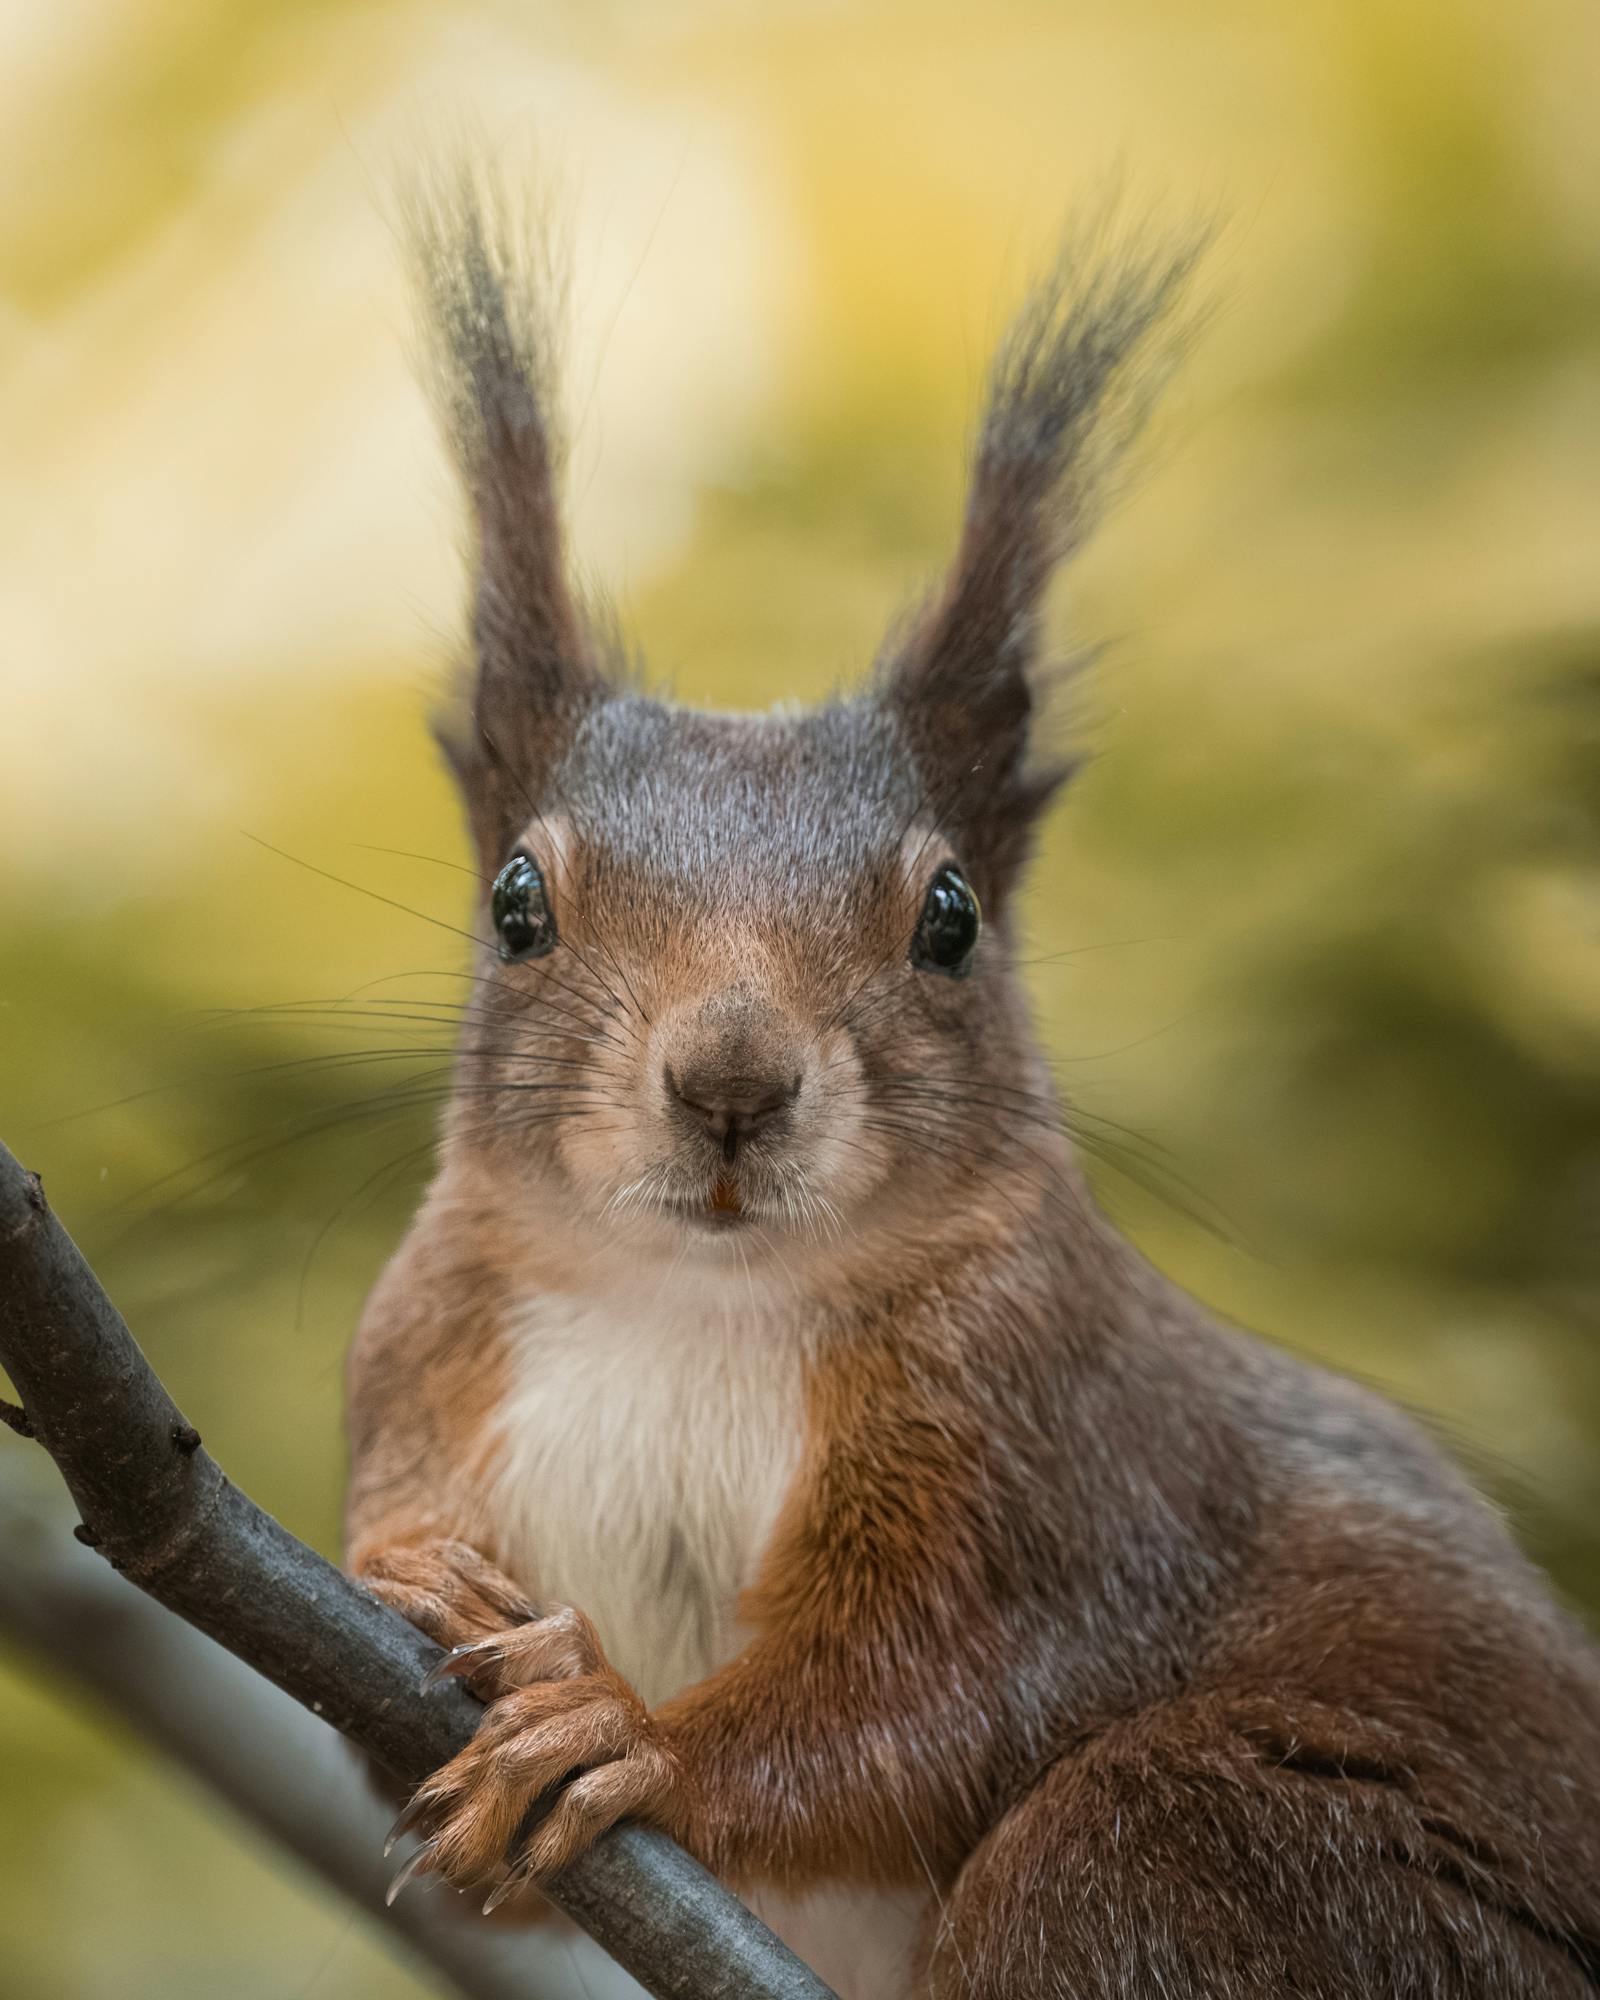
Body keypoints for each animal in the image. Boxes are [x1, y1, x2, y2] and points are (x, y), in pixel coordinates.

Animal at [346, 191, 1600, 2000]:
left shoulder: (1050, 1450)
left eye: (949, 918)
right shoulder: (422, 1353)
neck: (692, 1299)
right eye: (517, 904)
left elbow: (922, 1703)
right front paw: (406, 1566)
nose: (732, 1079)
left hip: (1203, 1855)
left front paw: (633, 1735)